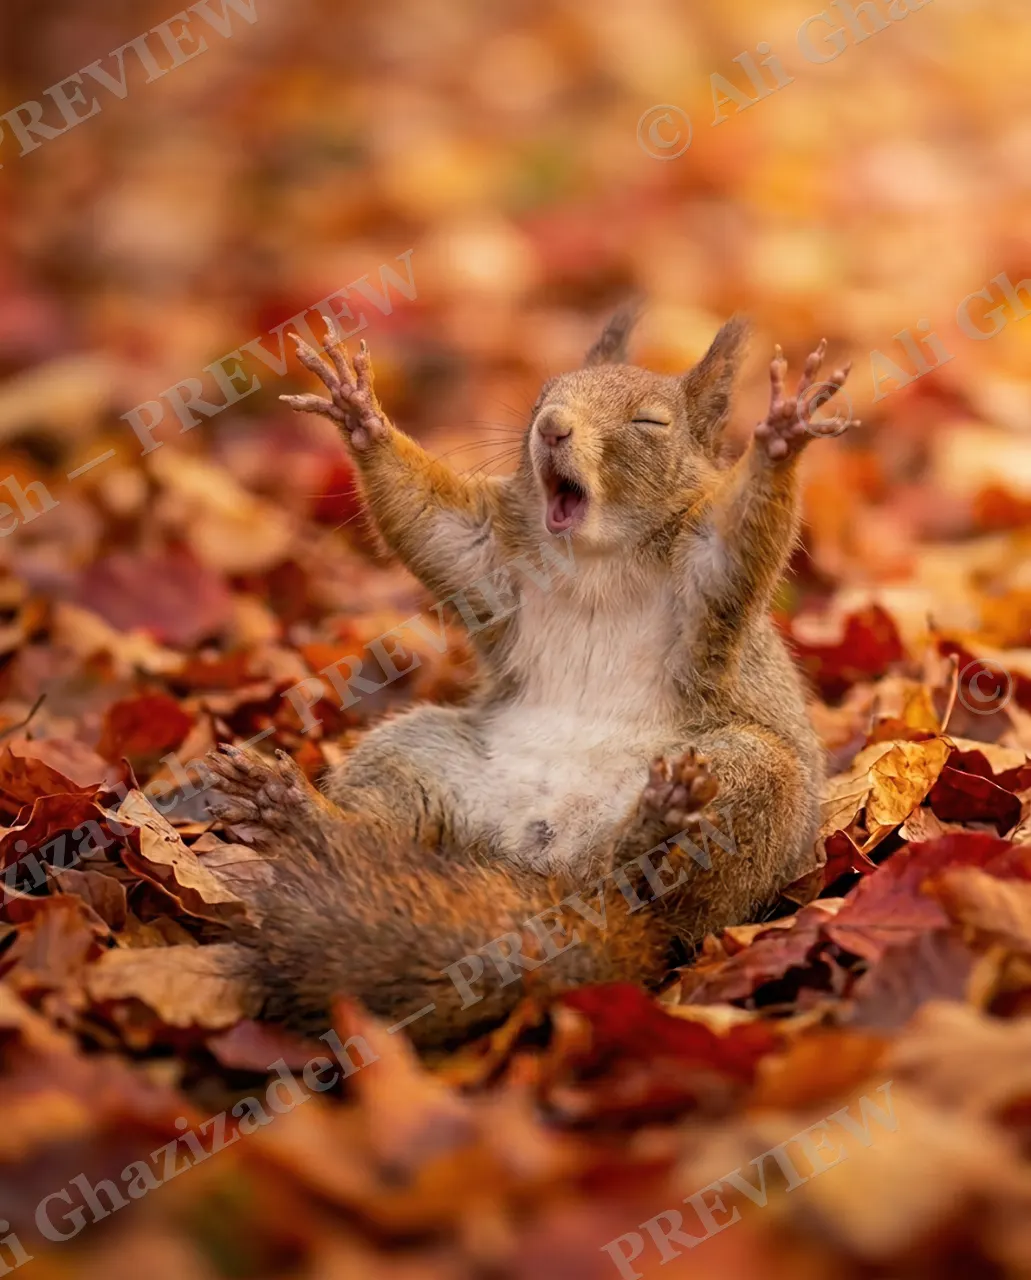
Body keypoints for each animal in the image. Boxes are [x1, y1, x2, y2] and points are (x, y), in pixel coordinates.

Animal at [204, 308, 854, 1049]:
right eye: (546, 394)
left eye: (650, 423)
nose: (552, 428)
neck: (595, 558)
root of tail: (545, 867)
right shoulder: (491, 558)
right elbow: (435, 526)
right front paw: (359, 413)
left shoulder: (706, 574)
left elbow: (738, 539)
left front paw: (782, 435)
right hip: (421, 757)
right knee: (378, 827)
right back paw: (295, 811)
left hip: (750, 779)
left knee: (642, 888)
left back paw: (651, 828)